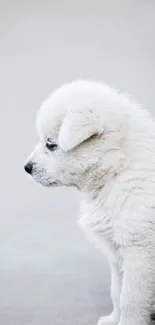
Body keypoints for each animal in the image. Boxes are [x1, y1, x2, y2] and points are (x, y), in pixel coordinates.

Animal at [24, 79, 155, 324]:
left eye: (51, 144)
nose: (26, 168)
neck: (117, 169)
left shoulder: (140, 250)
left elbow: (131, 298)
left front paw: (128, 322)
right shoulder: (116, 251)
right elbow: (117, 291)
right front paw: (113, 320)